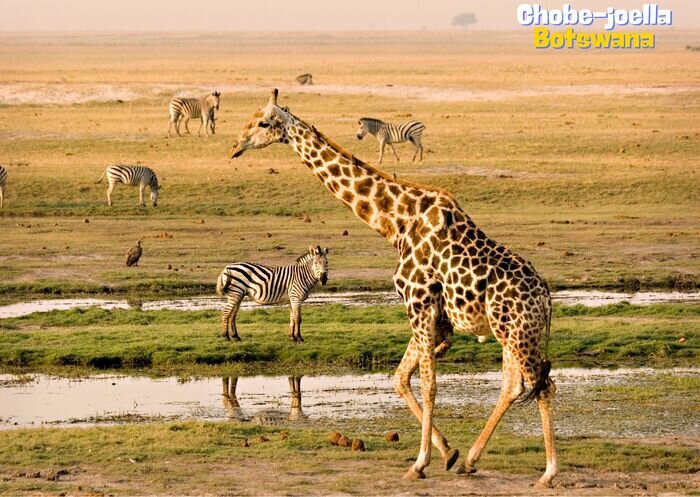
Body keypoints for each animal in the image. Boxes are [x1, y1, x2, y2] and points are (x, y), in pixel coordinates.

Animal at [230, 89, 556, 484]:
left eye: (263, 123)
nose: (235, 146)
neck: (396, 223)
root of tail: (546, 299)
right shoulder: (432, 316)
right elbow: (400, 379)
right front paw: (448, 453)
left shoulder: (419, 303)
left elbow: (428, 385)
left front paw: (419, 463)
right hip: (510, 333)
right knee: (515, 385)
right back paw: (471, 460)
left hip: (519, 333)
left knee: (542, 385)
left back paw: (548, 473)